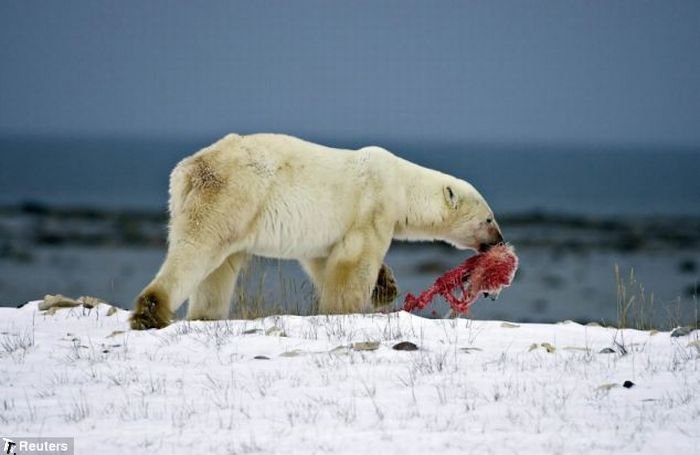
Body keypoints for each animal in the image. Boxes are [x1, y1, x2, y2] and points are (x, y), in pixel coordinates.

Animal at [130, 134, 504, 330]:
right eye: (489, 218)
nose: (499, 240)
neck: (402, 183)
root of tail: (189, 169)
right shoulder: (373, 204)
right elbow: (355, 260)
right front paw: (348, 309)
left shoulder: (327, 230)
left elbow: (323, 260)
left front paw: (386, 286)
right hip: (233, 194)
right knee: (197, 249)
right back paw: (151, 312)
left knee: (219, 268)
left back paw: (205, 316)